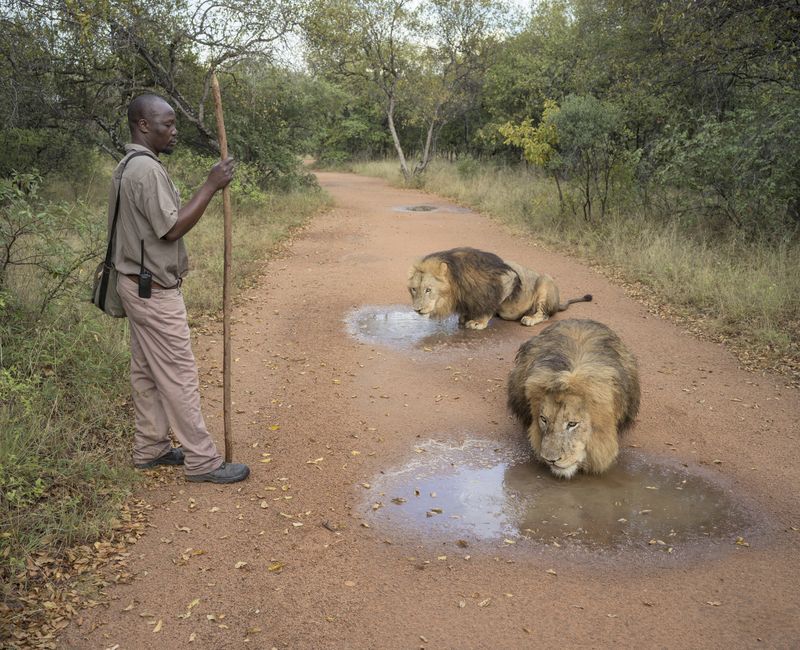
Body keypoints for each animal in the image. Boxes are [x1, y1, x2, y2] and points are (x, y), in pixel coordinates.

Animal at [407, 247, 591, 329]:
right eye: (414, 289)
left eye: (428, 289)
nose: (417, 310)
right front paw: (465, 316)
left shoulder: (508, 279)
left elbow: (489, 304)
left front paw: (478, 322)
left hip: (545, 280)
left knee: (544, 314)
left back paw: (530, 318)